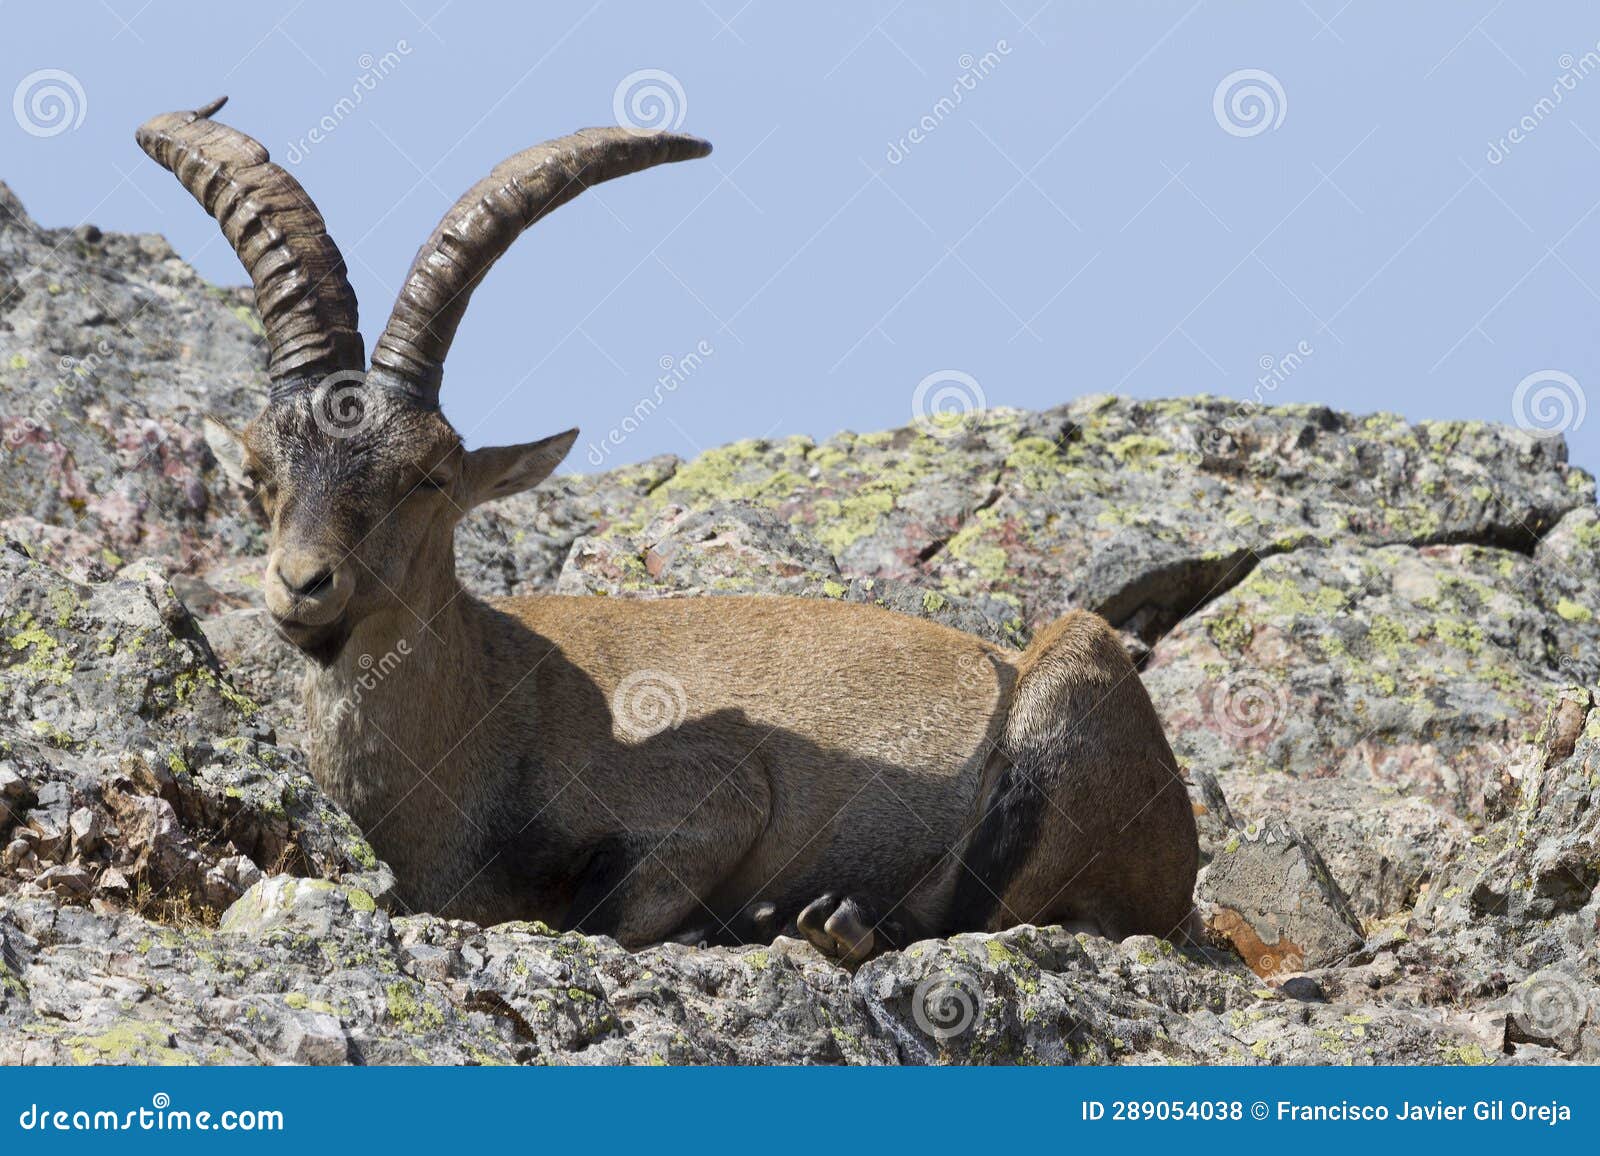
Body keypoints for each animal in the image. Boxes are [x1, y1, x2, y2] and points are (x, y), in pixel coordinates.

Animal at [137, 99, 1196, 960]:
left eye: (430, 475)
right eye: (258, 474)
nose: (302, 586)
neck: (481, 716)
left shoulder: (714, 797)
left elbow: (601, 911)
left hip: (1072, 688)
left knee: (987, 911)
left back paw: (826, 924)